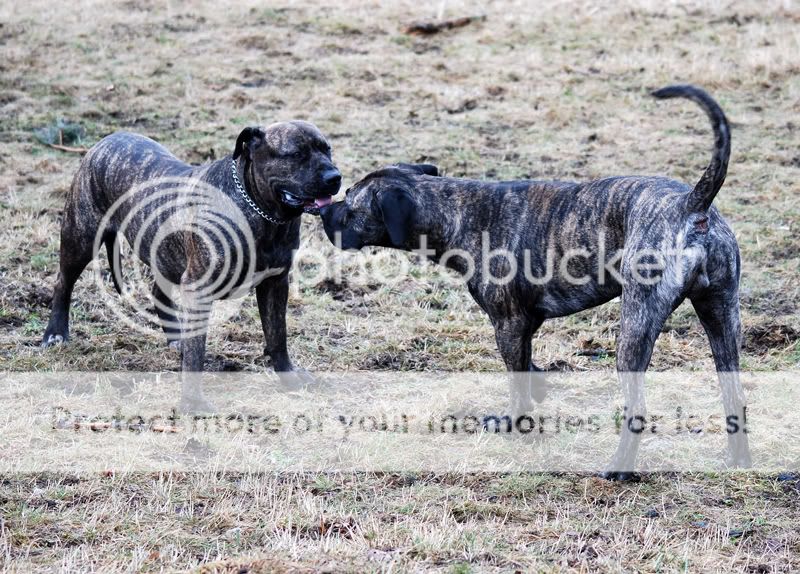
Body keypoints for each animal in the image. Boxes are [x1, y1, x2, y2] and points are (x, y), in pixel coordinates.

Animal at [43, 121, 340, 412]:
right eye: (296, 154)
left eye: (327, 150)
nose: (334, 177)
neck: (261, 212)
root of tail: (106, 140)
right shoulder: (199, 289)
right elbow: (197, 354)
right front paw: (193, 402)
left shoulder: (275, 282)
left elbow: (277, 335)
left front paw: (289, 377)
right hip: (80, 238)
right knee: (63, 282)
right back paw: (55, 333)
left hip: (165, 254)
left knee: (158, 292)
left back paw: (176, 337)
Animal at [318, 85, 752, 480]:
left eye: (351, 207)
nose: (323, 213)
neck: (456, 209)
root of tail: (692, 205)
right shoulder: (527, 321)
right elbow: (528, 367)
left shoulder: (508, 323)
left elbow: (516, 383)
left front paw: (513, 421)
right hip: (721, 319)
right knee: (735, 396)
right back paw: (739, 462)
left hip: (636, 325)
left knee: (638, 409)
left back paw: (620, 470)